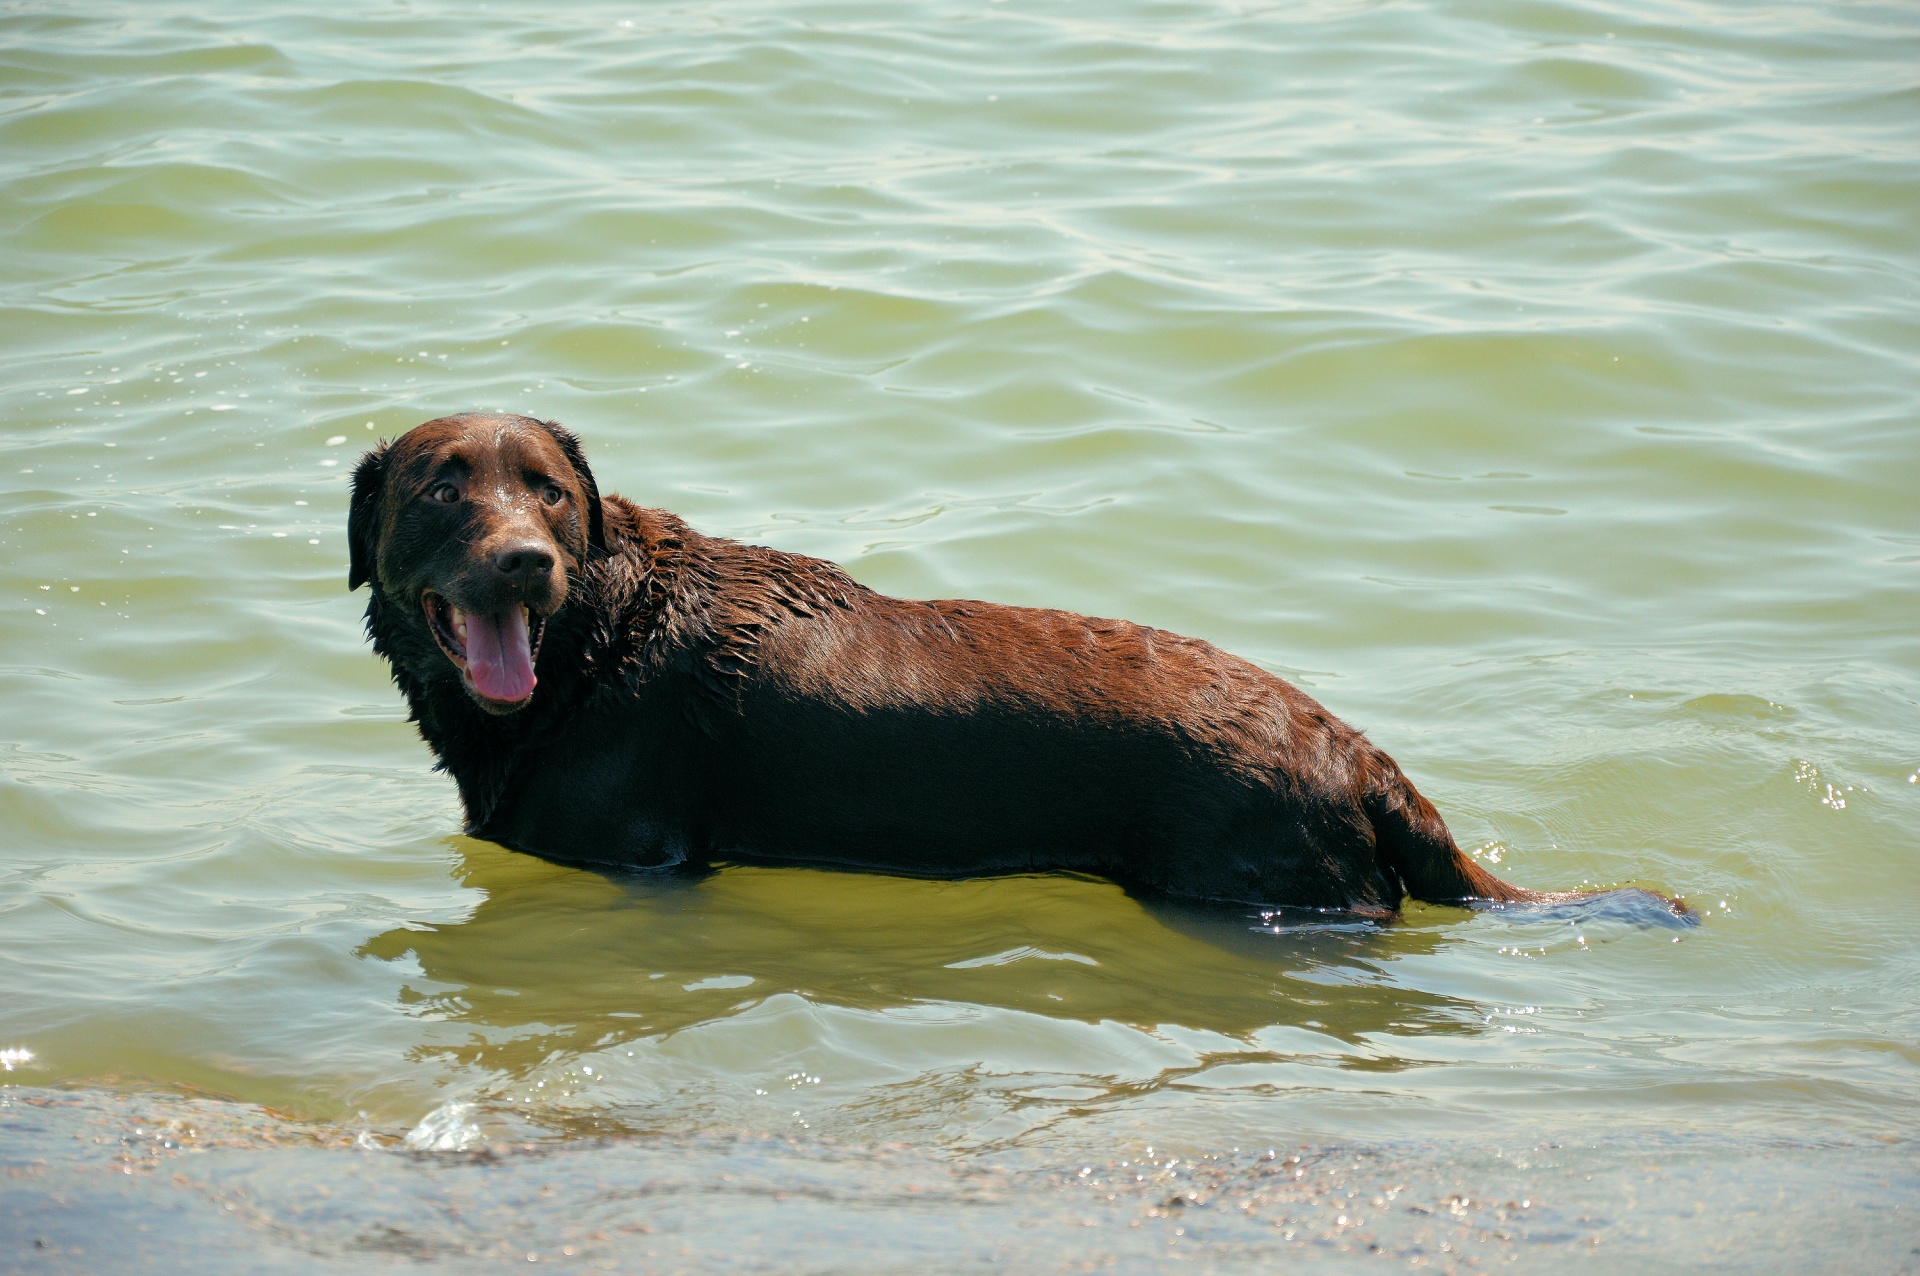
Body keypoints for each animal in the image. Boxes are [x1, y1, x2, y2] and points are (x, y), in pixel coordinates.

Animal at [353, 412, 1674, 909]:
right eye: (442, 488)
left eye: (550, 492)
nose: (526, 562)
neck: (597, 641)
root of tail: (1359, 756)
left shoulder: (637, 857)